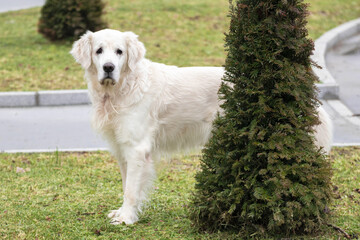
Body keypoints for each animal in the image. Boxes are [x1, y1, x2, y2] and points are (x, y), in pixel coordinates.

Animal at [69, 28, 332, 225]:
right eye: (99, 51)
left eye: (119, 52)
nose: (109, 67)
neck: (122, 88)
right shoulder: (123, 148)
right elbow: (126, 185)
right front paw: (123, 212)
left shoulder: (137, 148)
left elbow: (132, 190)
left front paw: (126, 218)